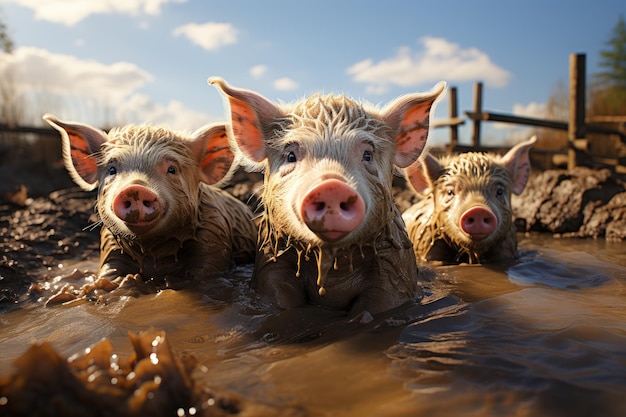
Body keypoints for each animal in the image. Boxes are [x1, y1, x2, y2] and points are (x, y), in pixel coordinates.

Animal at [42, 113, 256, 286]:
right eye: (112, 170)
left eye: (172, 169)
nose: (135, 188)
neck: (153, 252)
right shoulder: (109, 245)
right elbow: (108, 273)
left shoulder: (214, 236)